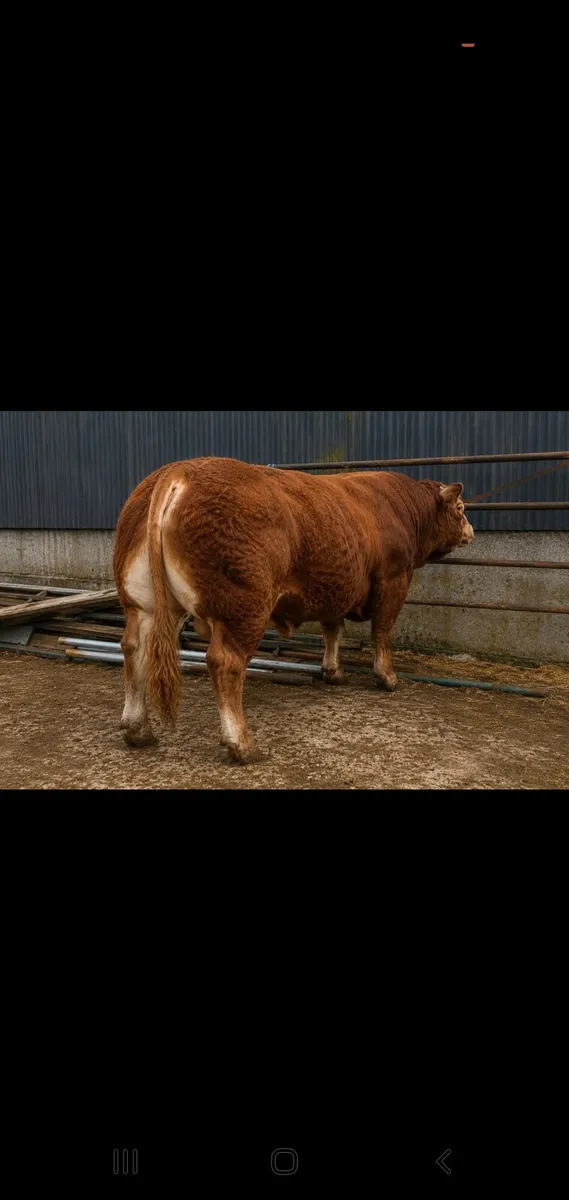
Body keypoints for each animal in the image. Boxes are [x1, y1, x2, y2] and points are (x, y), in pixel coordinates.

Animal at [113, 457, 474, 763]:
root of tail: (180, 471)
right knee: (226, 663)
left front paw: (333, 671)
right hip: (244, 607)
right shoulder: (393, 578)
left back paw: (137, 729)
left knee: (135, 648)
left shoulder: (336, 585)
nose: (471, 532)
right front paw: (387, 677)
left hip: (143, 605)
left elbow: (333, 629)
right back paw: (242, 744)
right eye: (460, 508)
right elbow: (383, 630)